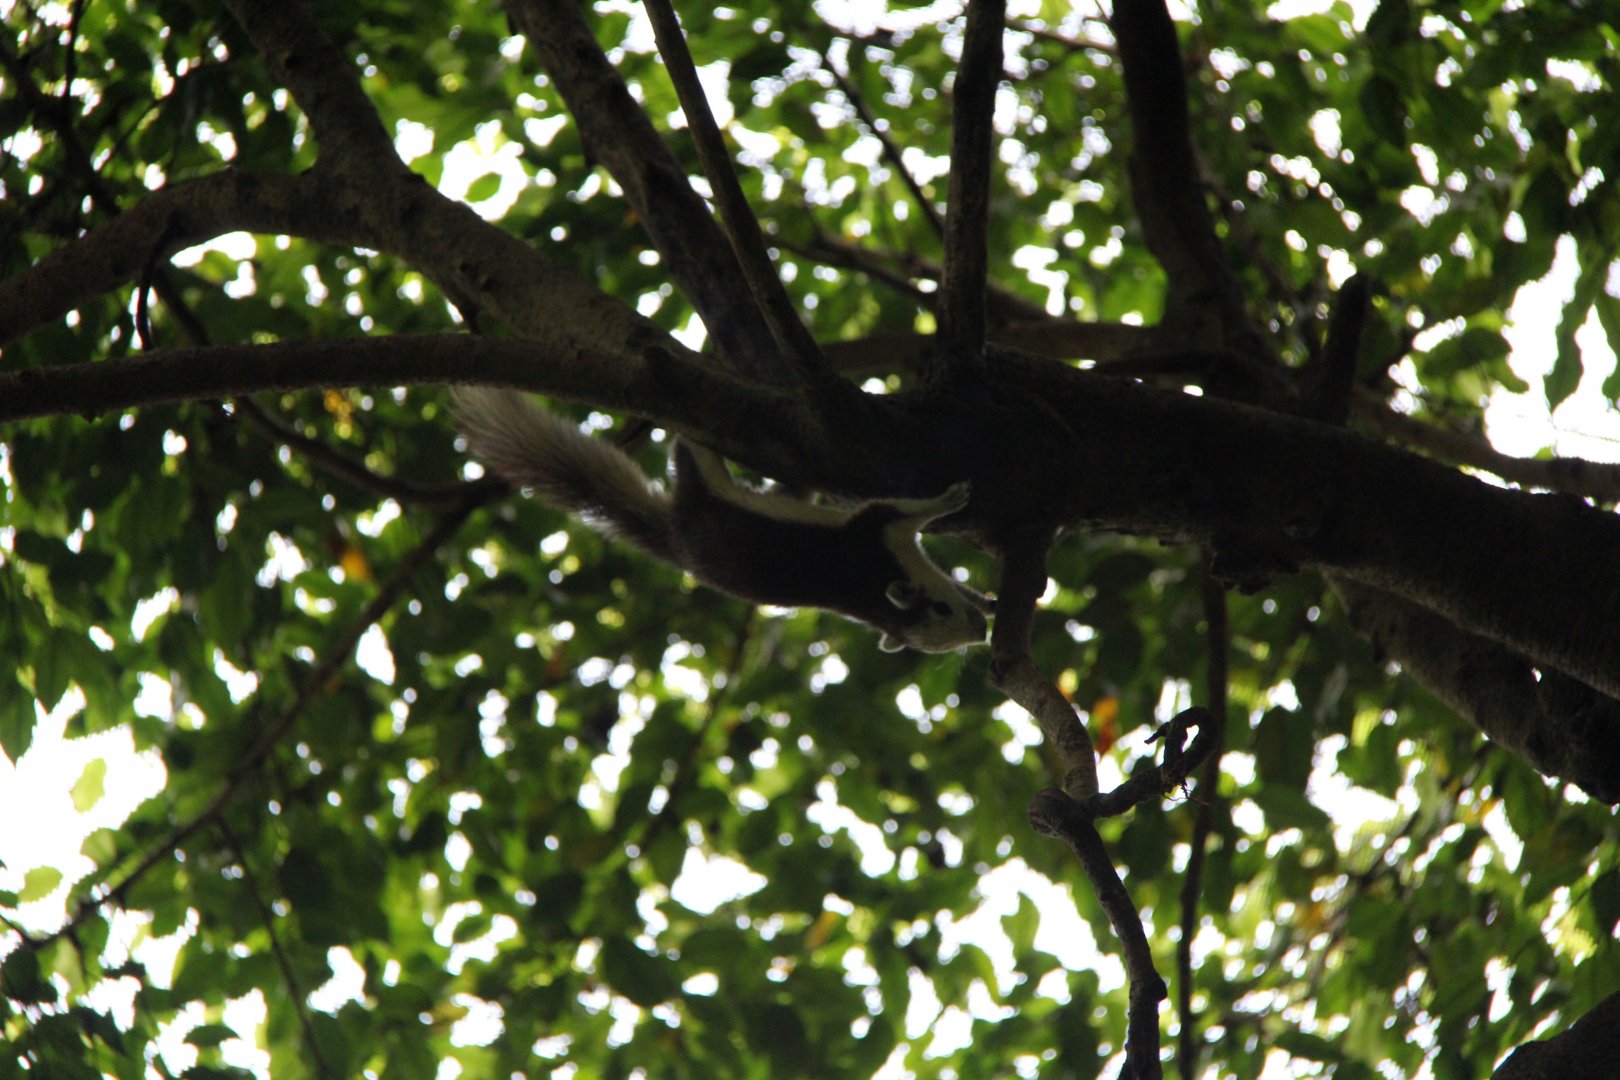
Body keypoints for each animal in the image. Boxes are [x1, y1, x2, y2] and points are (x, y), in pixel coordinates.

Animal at [451, 387, 991, 652]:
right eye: (939, 612)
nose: (981, 632)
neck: (875, 588)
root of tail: (674, 532)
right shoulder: (876, 531)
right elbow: (905, 509)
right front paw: (951, 497)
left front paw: (985, 595)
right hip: (703, 484)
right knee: (690, 451)